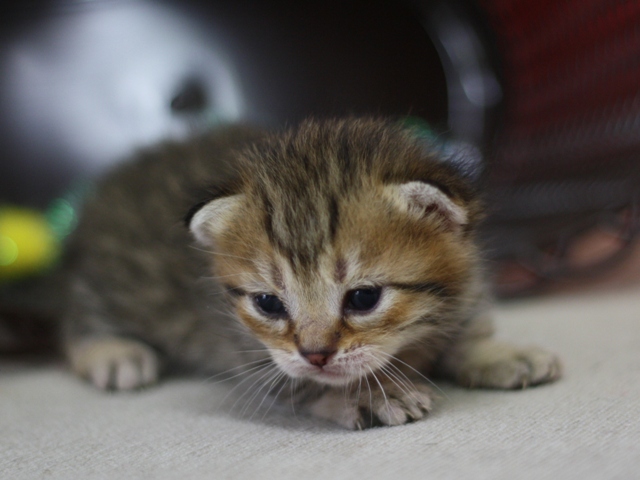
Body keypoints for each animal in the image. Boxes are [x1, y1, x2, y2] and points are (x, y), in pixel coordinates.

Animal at [61, 118, 560, 430]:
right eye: (269, 303)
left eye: (363, 298)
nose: (315, 354)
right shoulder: (249, 351)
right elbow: (298, 384)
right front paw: (367, 396)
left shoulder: (467, 284)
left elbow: (466, 329)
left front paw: (496, 352)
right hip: (104, 279)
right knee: (77, 318)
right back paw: (112, 352)